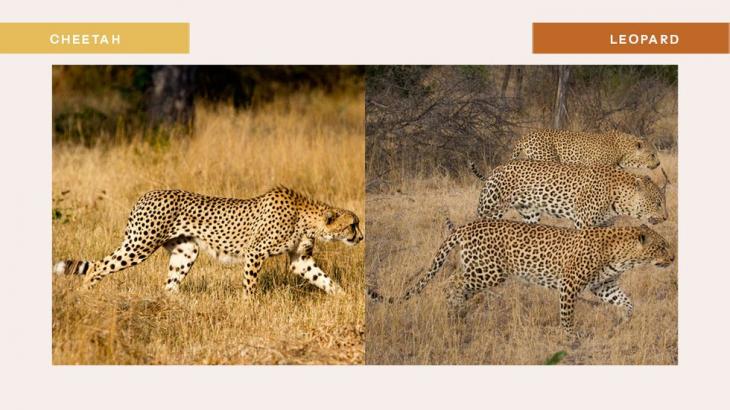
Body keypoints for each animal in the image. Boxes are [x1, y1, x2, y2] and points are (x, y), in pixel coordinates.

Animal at [53, 186, 363, 295]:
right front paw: (249, 308)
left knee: (169, 285)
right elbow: (250, 286)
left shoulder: (300, 260)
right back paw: (85, 294)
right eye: (353, 224)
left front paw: (344, 298)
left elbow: (324, 279)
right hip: (140, 245)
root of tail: (146, 194)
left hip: (186, 252)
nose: (361, 237)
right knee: (98, 266)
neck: (306, 216)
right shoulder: (255, 253)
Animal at [368, 219, 673, 335]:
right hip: (488, 272)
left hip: (478, 270)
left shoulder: (604, 286)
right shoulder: (569, 284)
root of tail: (468, 225)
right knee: (449, 283)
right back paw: (454, 312)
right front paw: (571, 336)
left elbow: (628, 302)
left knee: (458, 286)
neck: (623, 257)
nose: (673, 259)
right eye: (662, 247)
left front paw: (624, 320)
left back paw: (459, 315)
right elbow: (567, 314)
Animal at [469, 160, 668, 229]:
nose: (666, 217)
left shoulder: (604, 224)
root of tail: (497, 168)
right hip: (490, 210)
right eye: (657, 203)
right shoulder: (584, 222)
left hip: (530, 214)